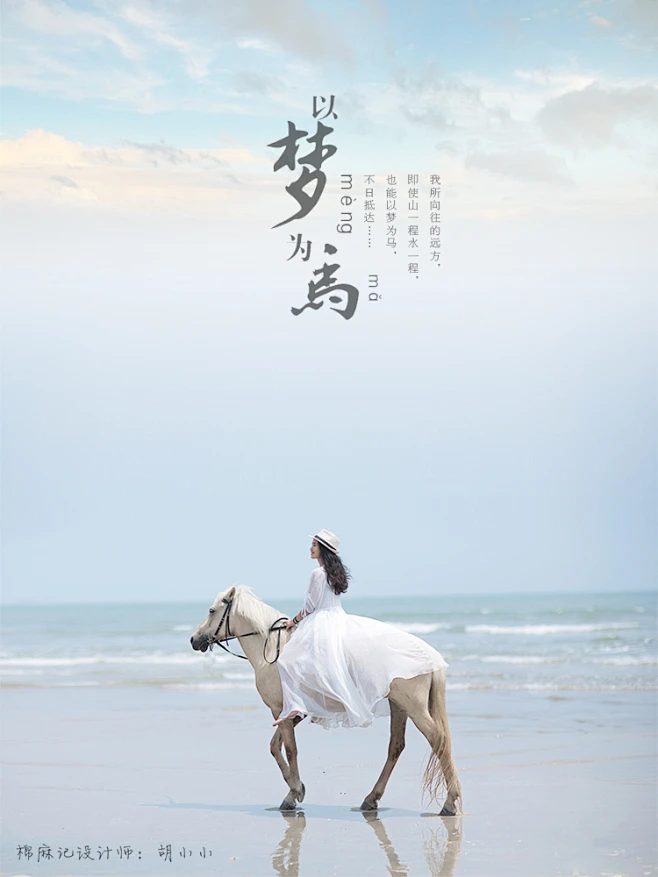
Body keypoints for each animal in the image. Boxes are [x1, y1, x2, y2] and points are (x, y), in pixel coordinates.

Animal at [190, 584, 462, 815]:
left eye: (212, 611)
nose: (194, 640)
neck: (271, 650)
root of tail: (431, 656)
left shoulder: (281, 710)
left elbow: (290, 749)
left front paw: (293, 793)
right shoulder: (293, 712)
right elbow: (275, 746)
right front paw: (297, 789)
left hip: (414, 707)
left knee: (438, 740)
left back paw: (449, 803)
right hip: (399, 706)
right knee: (396, 746)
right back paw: (371, 800)